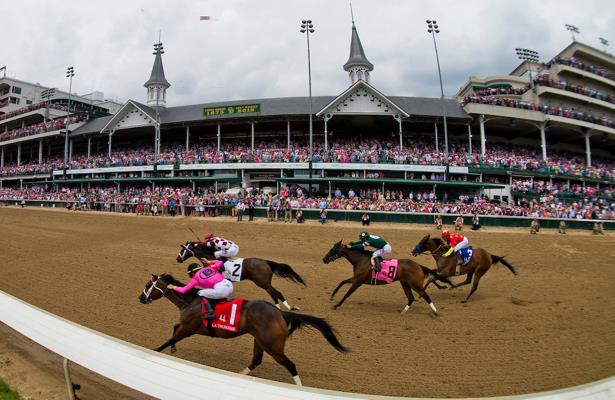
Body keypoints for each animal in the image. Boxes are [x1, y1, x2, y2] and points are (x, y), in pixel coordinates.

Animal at [141, 272, 352, 384]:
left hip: (272, 346)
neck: (191, 301)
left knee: (290, 365)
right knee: (256, 361)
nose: (141, 298)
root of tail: (281, 314)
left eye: (148, 285)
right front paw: (173, 349)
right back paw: (238, 375)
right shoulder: (188, 326)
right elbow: (174, 329)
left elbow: (169, 338)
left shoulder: (188, 328)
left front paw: (156, 351)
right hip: (259, 341)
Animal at [176, 241, 306, 310]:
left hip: (262, 282)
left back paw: (287, 307)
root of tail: (265, 262)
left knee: (276, 293)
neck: (209, 257)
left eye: (183, 250)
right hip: (265, 283)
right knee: (274, 294)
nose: (178, 259)